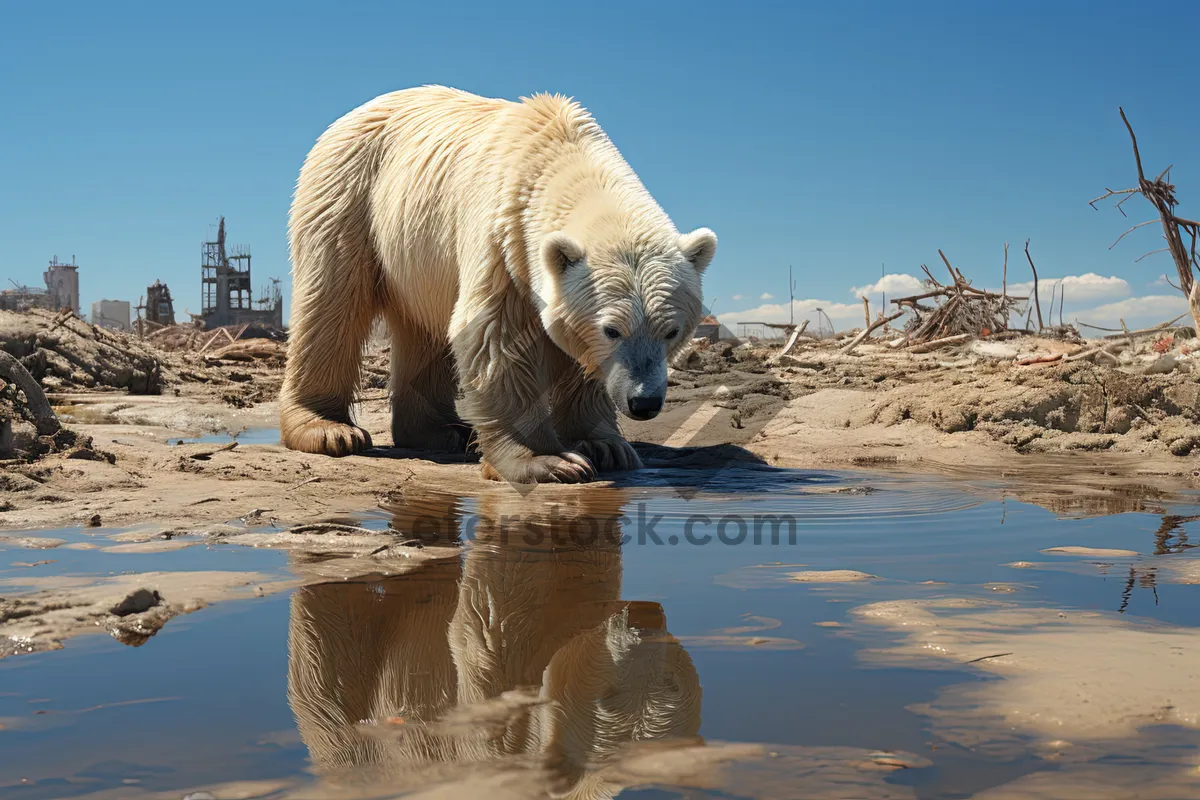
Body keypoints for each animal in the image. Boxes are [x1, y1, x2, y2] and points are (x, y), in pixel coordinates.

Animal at [278, 82, 710, 482]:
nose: (644, 403)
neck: (564, 153)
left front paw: (606, 446)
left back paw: (443, 431)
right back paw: (329, 429)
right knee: (332, 301)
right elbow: (495, 335)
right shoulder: (504, 238)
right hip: (350, 193)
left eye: (672, 331)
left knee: (423, 327)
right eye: (612, 329)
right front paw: (547, 461)